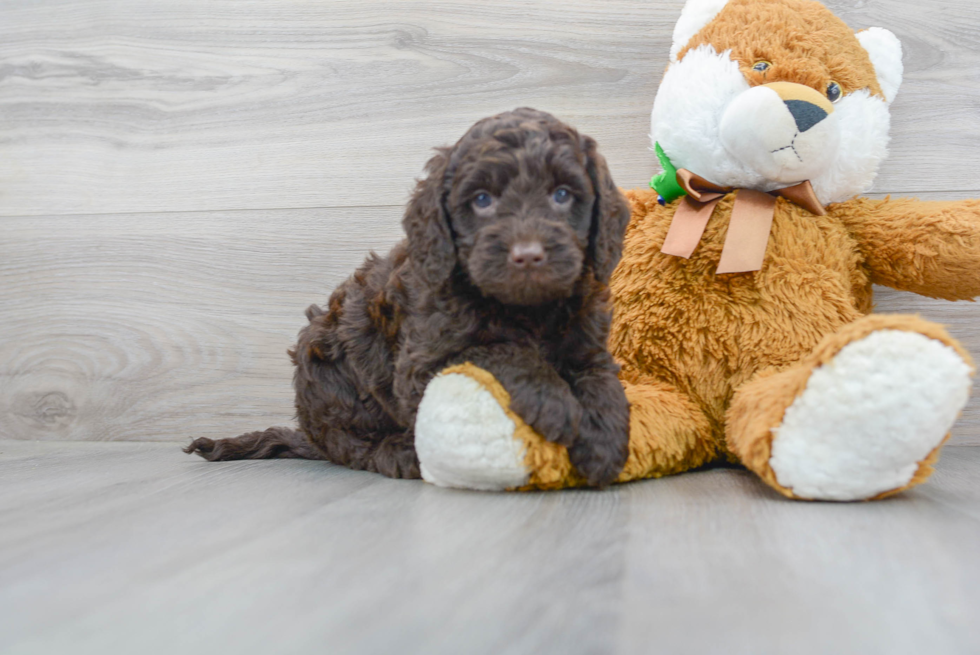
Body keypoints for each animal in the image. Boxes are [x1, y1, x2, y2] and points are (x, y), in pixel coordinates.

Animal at [187, 107, 632, 486]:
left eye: (562, 194)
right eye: (482, 200)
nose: (528, 255)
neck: (526, 308)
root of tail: (311, 435)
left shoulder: (588, 339)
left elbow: (598, 377)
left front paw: (603, 437)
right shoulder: (423, 361)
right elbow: (498, 349)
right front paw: (553, 400)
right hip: (328, 375)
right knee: (355, 446)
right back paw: (401, 454)